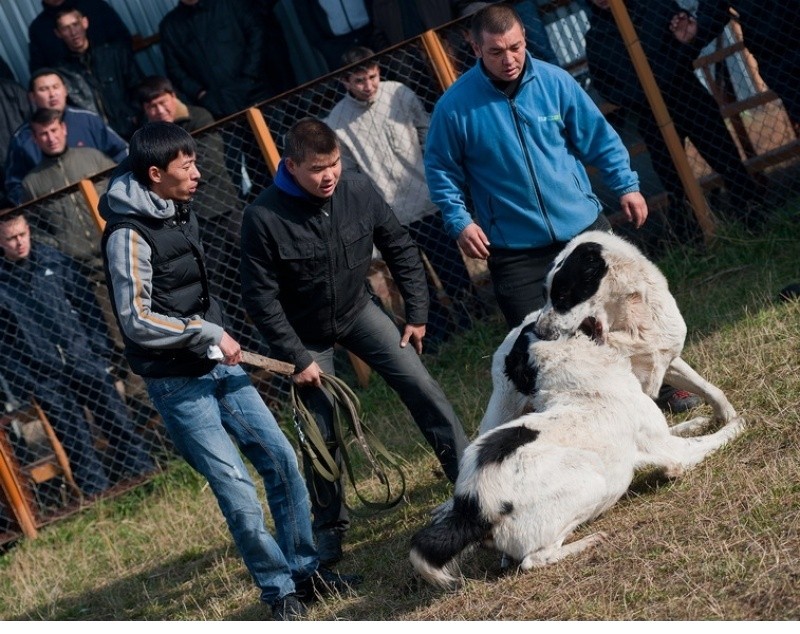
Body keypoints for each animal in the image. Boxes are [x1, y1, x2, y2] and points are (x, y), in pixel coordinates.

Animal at [410, 334, 748, 584]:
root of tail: (472, 505)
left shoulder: (662, 437)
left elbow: (687, 427)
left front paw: (704, 419)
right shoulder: (673, 452)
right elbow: (713, 439)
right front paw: (737, 424)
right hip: (590, 482)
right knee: (534, 559)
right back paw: (588, 540)